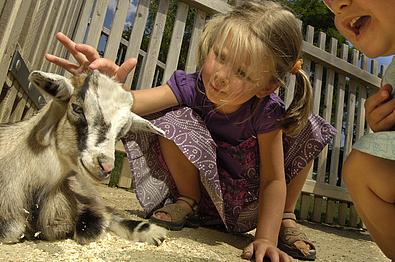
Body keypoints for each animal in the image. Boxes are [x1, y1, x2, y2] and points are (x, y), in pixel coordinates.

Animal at [0, 70, 166, 246]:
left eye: (122, 131)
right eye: (76, 108)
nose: (106, 167)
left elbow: (92, 225)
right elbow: (13, 231)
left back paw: (153, 232)